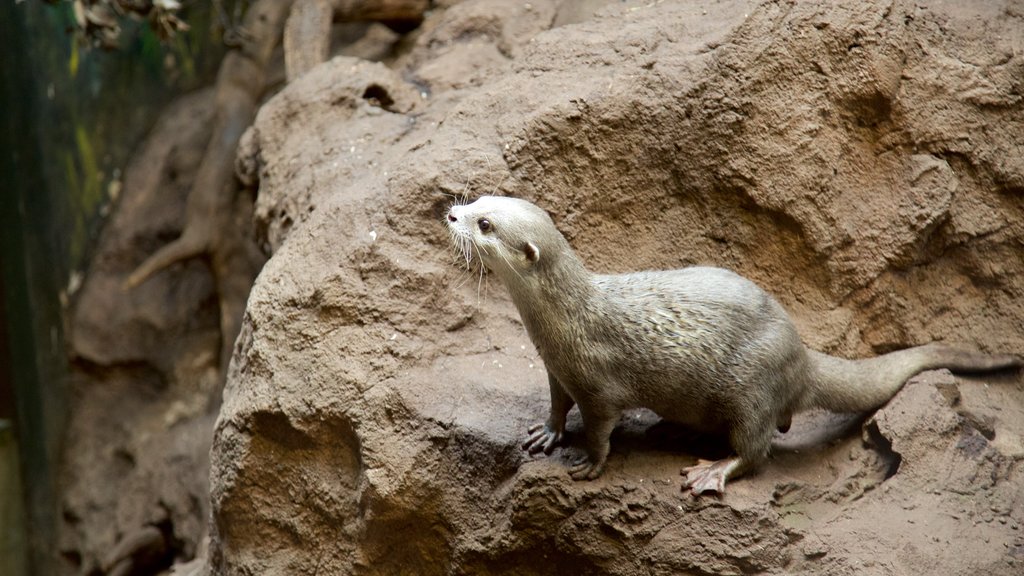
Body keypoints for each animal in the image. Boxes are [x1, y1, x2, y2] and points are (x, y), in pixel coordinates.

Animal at [446, 194, 1024, 491]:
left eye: (485, 222)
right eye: (479, 197)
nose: (450, 213)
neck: (565, 322)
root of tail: (800, 355)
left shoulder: (598, 385)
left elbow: (601, 428)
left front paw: (589, 462)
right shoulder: (556, 370)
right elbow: (555, 404)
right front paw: (546, 434)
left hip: (751, 388)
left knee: (758, 450)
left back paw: (712, 470)